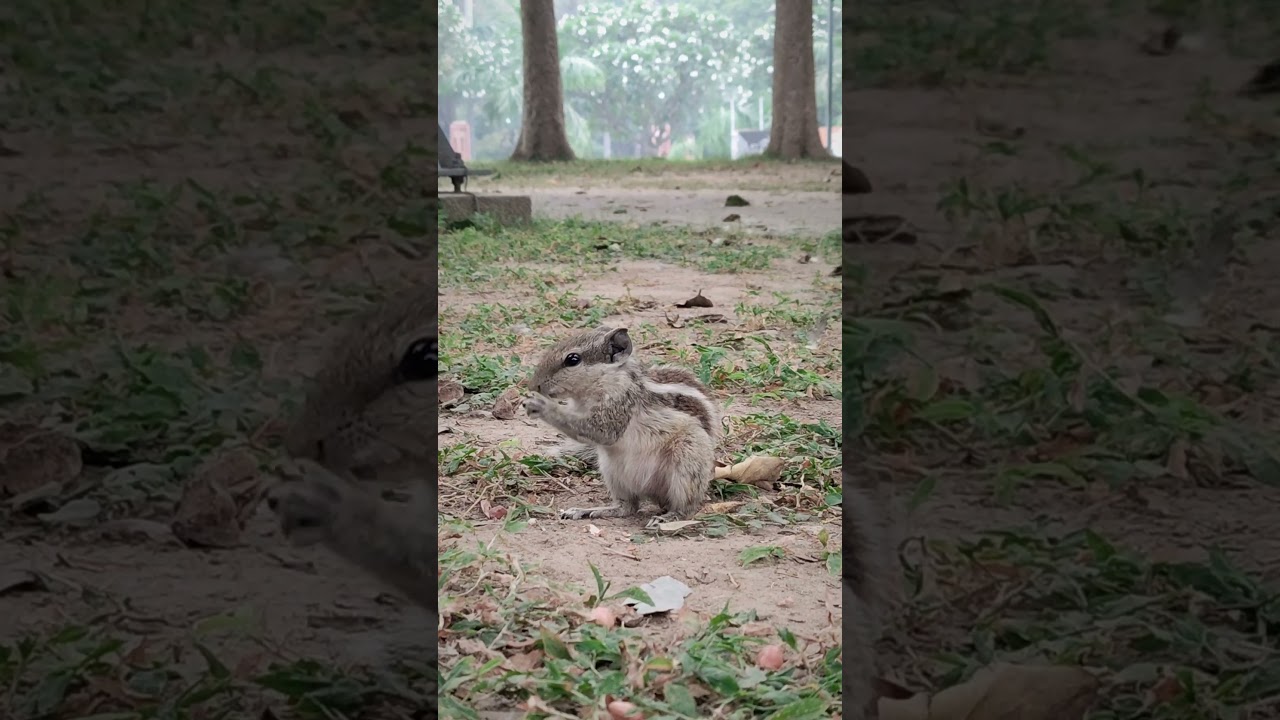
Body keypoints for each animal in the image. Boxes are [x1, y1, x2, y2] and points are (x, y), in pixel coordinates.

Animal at [522, 325, 720, 526]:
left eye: (573, 359)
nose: (533, 386)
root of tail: (651, 492)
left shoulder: (619, 406)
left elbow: (599, 430)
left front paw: (542, 405)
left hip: (688, 462)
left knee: (686, 507)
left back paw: (669, 517)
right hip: (612, 471)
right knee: (627, 507)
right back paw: (590, 510)